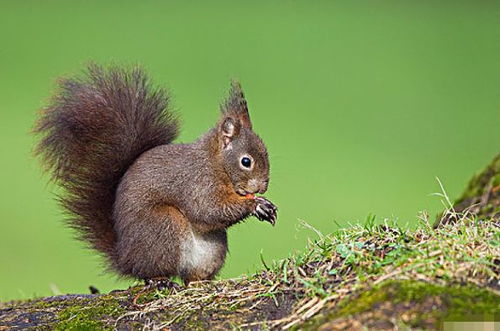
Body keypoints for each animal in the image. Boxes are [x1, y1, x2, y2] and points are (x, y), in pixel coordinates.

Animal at [35, 64, 278, 286]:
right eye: (246, 161)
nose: (262, 187)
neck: (216, 163)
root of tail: (126, 258)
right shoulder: (197, 182)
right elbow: (208, 209)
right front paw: (255, 204)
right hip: (164, 225)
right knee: (150, 272)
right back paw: (159, 280)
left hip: (212, 250)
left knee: (189, 277)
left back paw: (200, 282)